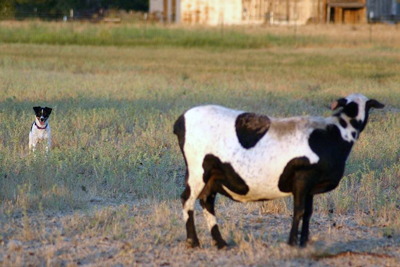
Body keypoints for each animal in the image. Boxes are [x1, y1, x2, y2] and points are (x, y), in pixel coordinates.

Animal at [173, 93, 384, 249]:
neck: (337, 133)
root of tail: (181, 120)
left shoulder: (310, 186)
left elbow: (308, 213)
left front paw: (304, 242)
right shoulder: (302, 178)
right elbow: (299, 211)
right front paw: (292, 243)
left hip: (213, 175)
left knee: (206, 200)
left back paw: (220, 243)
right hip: (197, 169)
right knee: (187, 200)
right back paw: (193, 242)